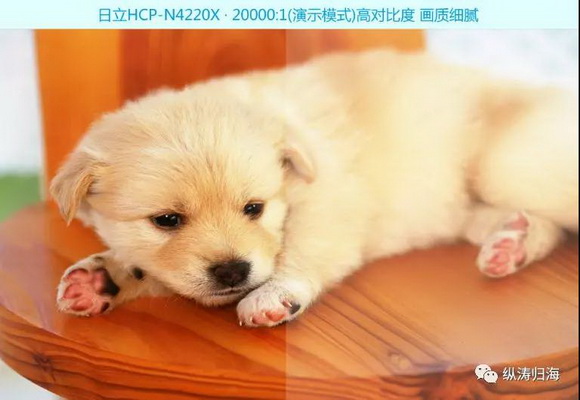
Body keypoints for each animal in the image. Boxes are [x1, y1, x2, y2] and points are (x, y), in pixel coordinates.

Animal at [52, 50, 578, 327]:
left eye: (254, 208)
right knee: (534, 226)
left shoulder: (331, 205)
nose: (233, 270)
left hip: (506, 165)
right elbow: (154, 269)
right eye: (166, 221)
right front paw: (101, 277)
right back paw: (511, 245)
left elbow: (300, 250)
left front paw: (275, 294)